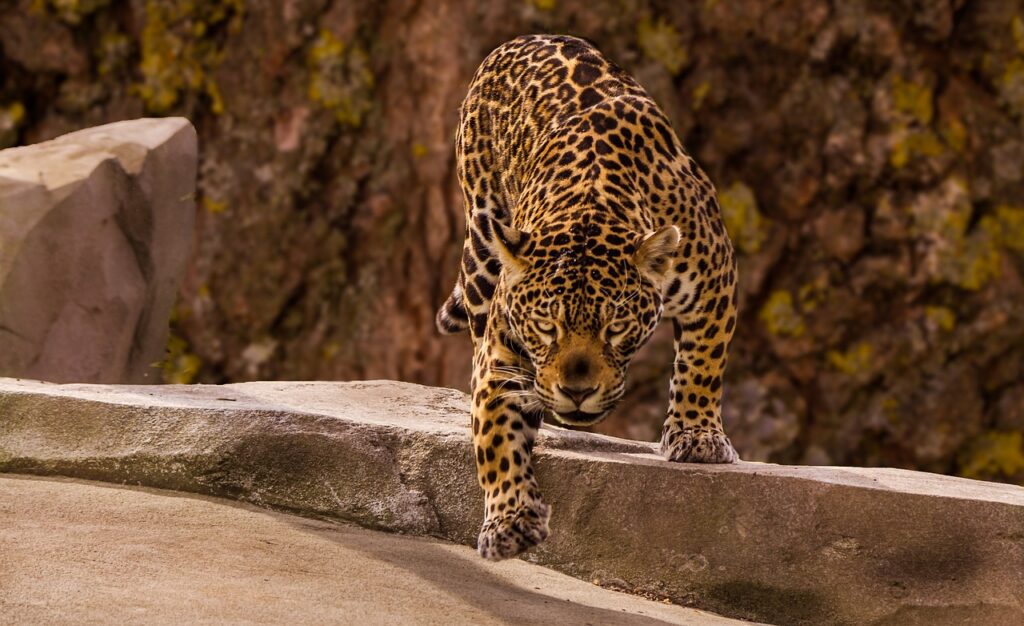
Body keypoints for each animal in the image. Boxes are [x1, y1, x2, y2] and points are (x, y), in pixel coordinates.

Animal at [437, 34, 739, 561]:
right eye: (545, 327)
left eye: (615, 328)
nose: (577, 393)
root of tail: (524, 38)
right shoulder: (500, 351)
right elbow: (495, 436)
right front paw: (510, 520)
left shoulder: (714, 278)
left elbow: (702, 365)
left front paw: (697, 435)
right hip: (482, 232)